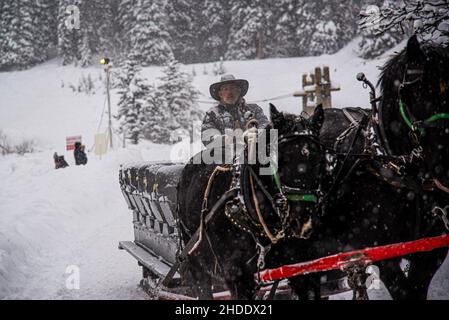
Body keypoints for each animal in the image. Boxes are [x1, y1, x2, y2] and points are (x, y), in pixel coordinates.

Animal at [177, 105, 328, 300]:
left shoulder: (302, 267)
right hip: (195, 258)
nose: (303, 221)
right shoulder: (238, 277)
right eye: (281, 159)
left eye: (319, 158)